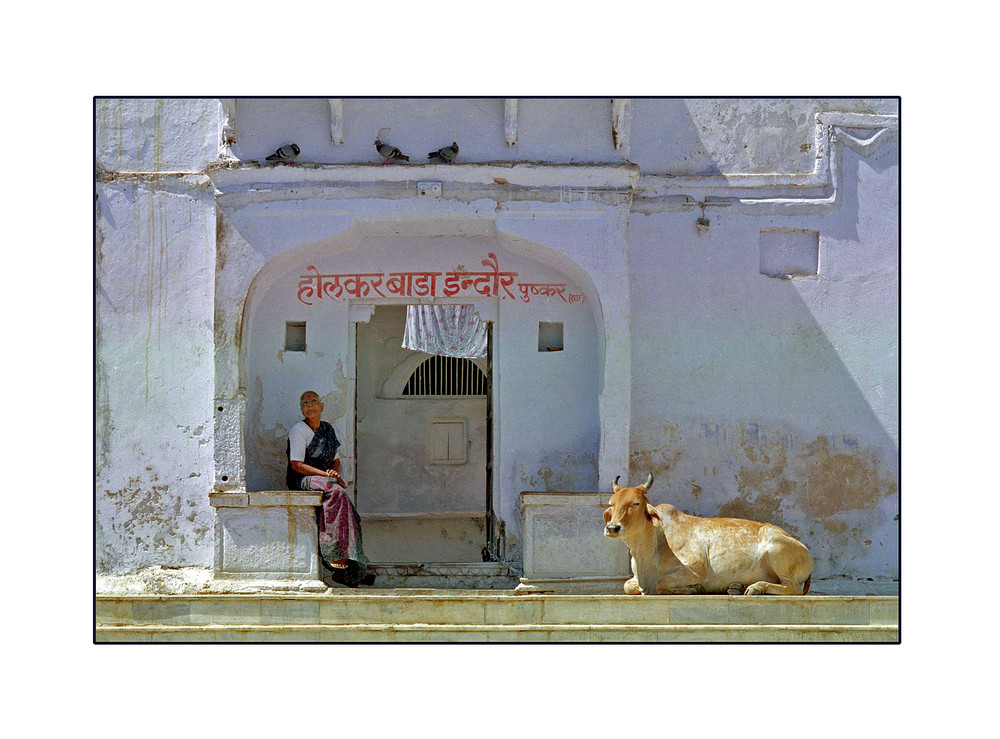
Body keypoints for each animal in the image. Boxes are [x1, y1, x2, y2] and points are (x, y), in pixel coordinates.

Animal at [600, 474, 812, 596]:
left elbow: (660, 583)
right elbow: (628, 586)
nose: (612, 528)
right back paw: (737, 587)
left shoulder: (696, 568)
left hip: (777, 550)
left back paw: (756, 588)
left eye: (636, 503)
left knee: (793, 589)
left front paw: (695, 588)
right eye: (611, 503)